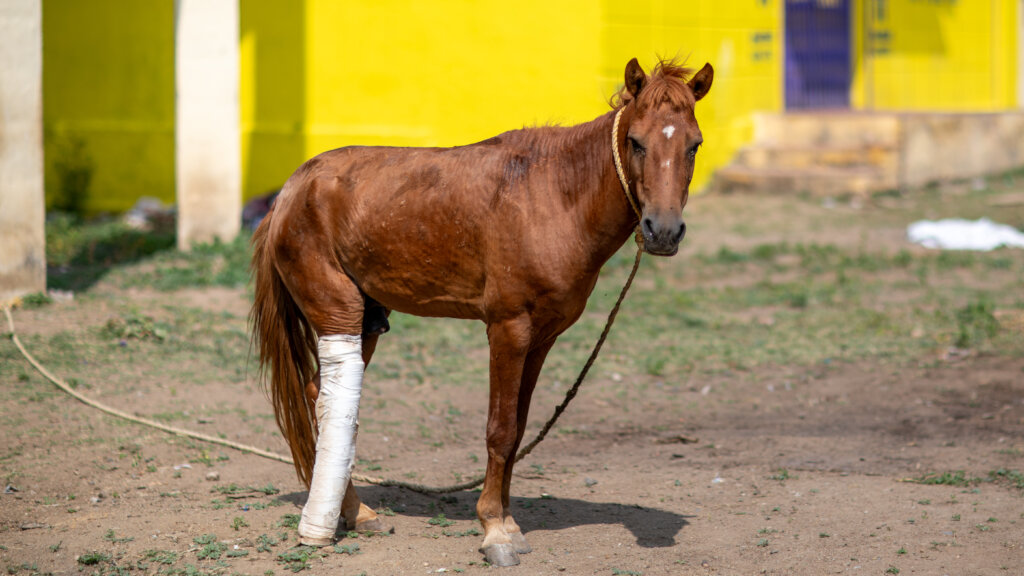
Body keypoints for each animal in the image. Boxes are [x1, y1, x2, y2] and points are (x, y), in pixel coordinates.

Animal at [250, 57, 713, 567]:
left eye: (694, 145)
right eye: (636, 141)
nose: (662, 231)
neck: (553, 195)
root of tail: (291, 189)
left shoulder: (542, 337)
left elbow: (519, 428)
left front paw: (507, 520)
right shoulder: (508, 329)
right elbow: (500, 430)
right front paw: (495, 530)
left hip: (367, 319)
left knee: (319, 392)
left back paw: (355, 512)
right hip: (339, 311)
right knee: (326, 398)